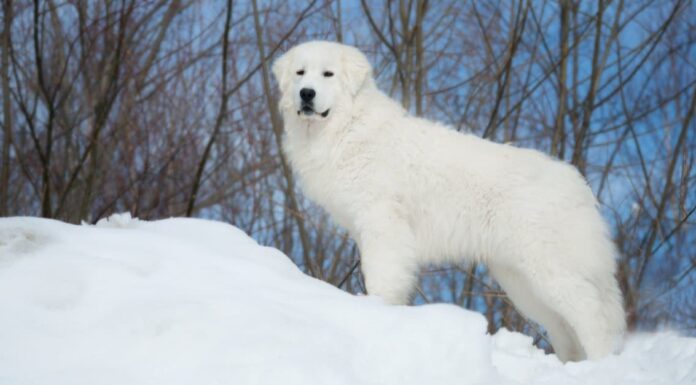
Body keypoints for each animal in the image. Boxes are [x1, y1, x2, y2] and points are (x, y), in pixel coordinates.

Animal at [272, 41, 624, 360]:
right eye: (300, 73)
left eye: (327, 74)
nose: (306, 94)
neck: (346, 127)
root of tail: (578, 184)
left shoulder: (383, 226)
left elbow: (382, 277)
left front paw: (377, 309)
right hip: (522, 283)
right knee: (566, 332)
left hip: (551, 271)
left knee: (593, 317)